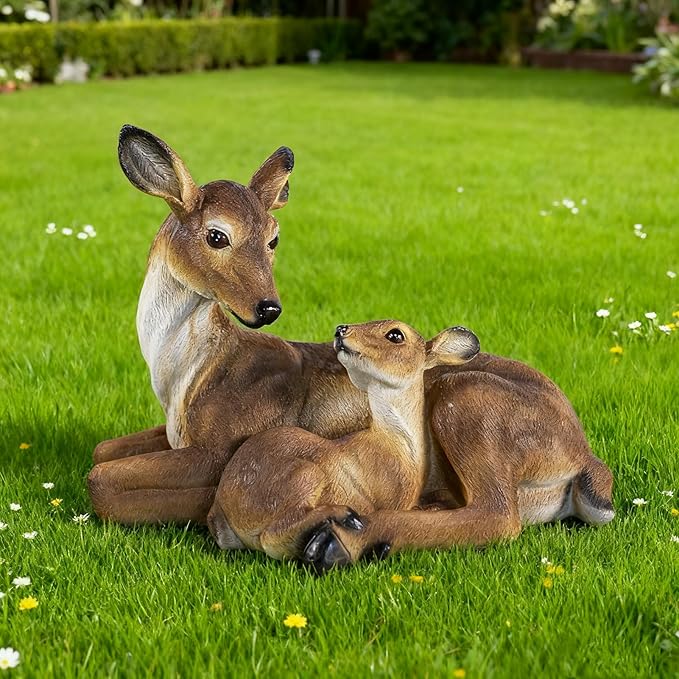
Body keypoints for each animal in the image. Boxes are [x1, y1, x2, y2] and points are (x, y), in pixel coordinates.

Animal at [207, 321, 479, 568]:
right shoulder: (392, 499)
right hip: (305, 475)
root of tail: (219, 512)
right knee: (271, 537)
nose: (341, 329)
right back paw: (343, 516)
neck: (398, 445)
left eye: (395, 334)